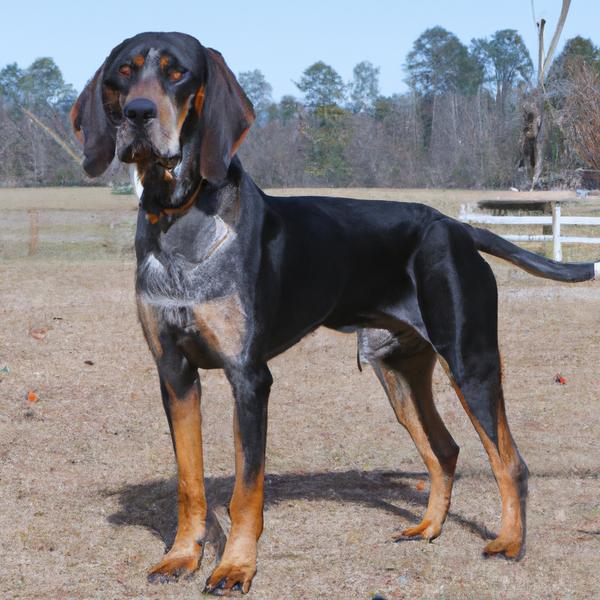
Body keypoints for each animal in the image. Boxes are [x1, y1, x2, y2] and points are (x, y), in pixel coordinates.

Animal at [72, 34, 596, 596]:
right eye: (123, 74)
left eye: (178, 74)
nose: (137, 113)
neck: (180, 216)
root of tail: (456, 227)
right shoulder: (174, 373)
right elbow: (190, 483)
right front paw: (181, 557)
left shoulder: (249, 378)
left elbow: (245, 490)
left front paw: (235, 567)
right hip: (397, 371)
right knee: (445, 450)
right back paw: (428, 527)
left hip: (470, 363)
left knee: (511, 462)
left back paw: (510, 542)